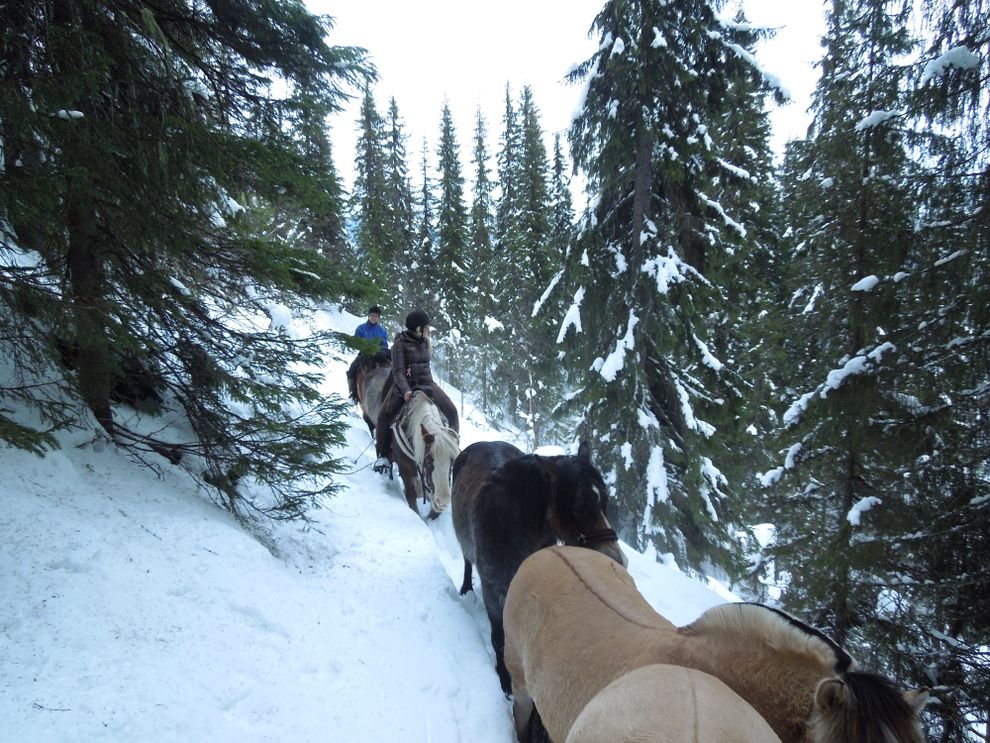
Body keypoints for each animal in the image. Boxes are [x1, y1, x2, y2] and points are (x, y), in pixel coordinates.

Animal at [452, 438, 628, 696]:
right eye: (578, 507)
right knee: (466, 561)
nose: (616, 559)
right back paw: (466, 589)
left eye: (606, 502)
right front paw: (505, 679)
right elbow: (499, 638)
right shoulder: (493, 593)